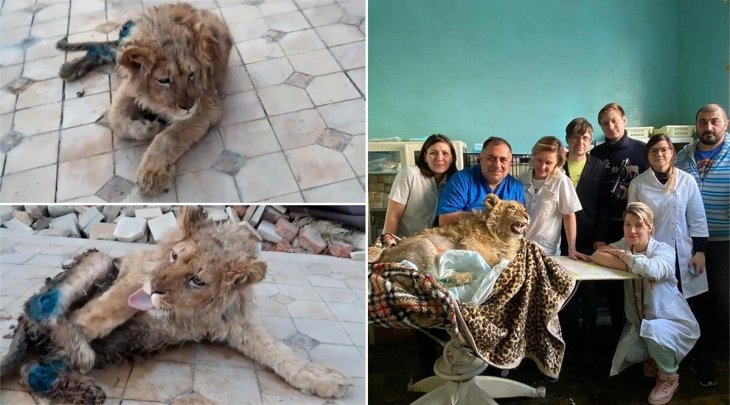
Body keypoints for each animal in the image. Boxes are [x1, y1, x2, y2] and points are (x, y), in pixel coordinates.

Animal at [0, 207, 350, 404]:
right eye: (173, 255)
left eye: (197, 280)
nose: (154, 288)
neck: (190, 311)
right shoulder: (135, 272)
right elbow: (97, 314)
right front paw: (82, 336)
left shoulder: (238, 324)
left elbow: (281, 354)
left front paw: (322, 379)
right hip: (100, 259)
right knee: (40, 307)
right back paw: (80, 352)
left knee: (32, 370)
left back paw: (83, 390)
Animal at [56, 3, 232, 195]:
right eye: (164, 80)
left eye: (191, 74)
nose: (189, 106)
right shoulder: (129, 86)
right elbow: (116, 119)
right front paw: (148, 127)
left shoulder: (209, 105)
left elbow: (168, 137)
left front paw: (152, 173)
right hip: (121, 51)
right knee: (101, 48)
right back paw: (70, 68)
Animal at [378, 194, 529, 275]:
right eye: (512, 207)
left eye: (524, 209)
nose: (528, 216)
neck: (501, 236)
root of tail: (382, 257)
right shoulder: (471, 242)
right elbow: (497, 261)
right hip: (425, 247)